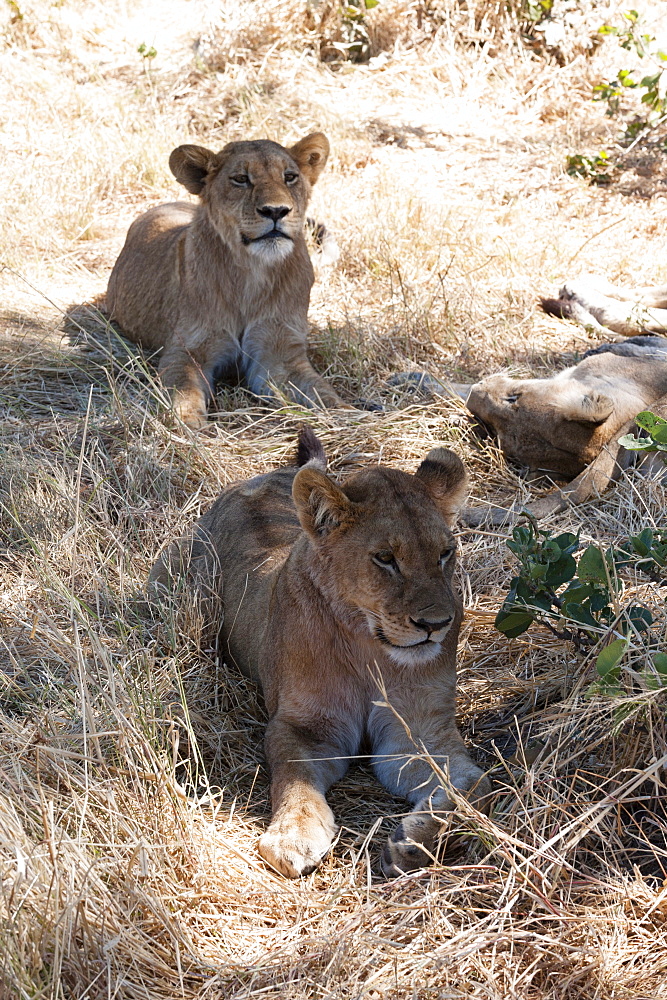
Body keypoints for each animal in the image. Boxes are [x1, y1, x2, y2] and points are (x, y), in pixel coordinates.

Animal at [105, 130, 344, 426]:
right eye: (241, 179)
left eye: (289, 176)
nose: (276, 211)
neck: (252, 273)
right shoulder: (186, 351)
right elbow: (183, 392)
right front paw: (189, 427)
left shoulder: (280, 355)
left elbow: (323, 393)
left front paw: (352, 418)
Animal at [150, 428, 490, 876]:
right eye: (385, 558)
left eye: (445, 553)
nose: (435, 624)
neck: (369, 650)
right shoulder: (303, 726)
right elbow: (296, 783)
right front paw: (293, 837)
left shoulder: (419, 735)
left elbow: (476, 784)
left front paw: (415, 841)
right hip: (175, 581)